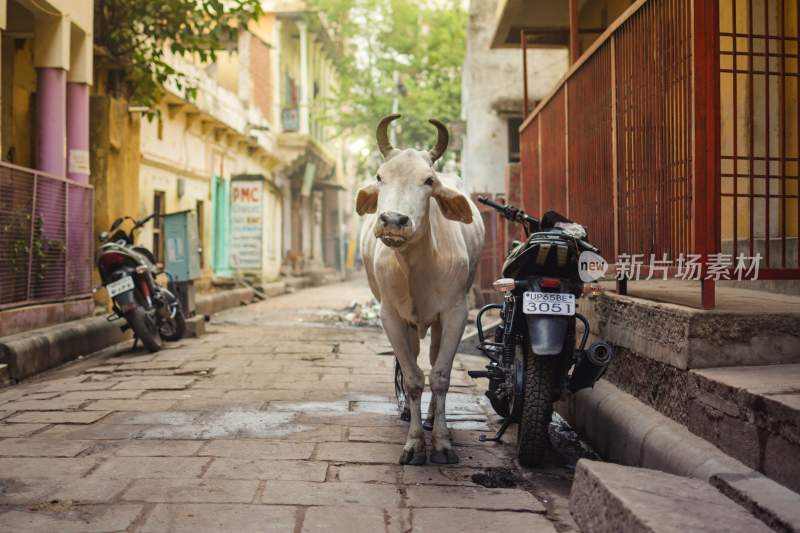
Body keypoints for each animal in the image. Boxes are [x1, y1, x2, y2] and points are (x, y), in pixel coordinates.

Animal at [358, 114, 484, 464]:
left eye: (428, 180)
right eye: (380, 176)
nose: (392, 220)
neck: (415, 265)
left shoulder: (455, 313)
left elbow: (440, 375)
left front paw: (440, 442)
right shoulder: (390, 316)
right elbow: (413, 377)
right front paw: (414, 444)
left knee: (432, 357)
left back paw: (431, 419)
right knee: (411, 360)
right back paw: (407, 413)